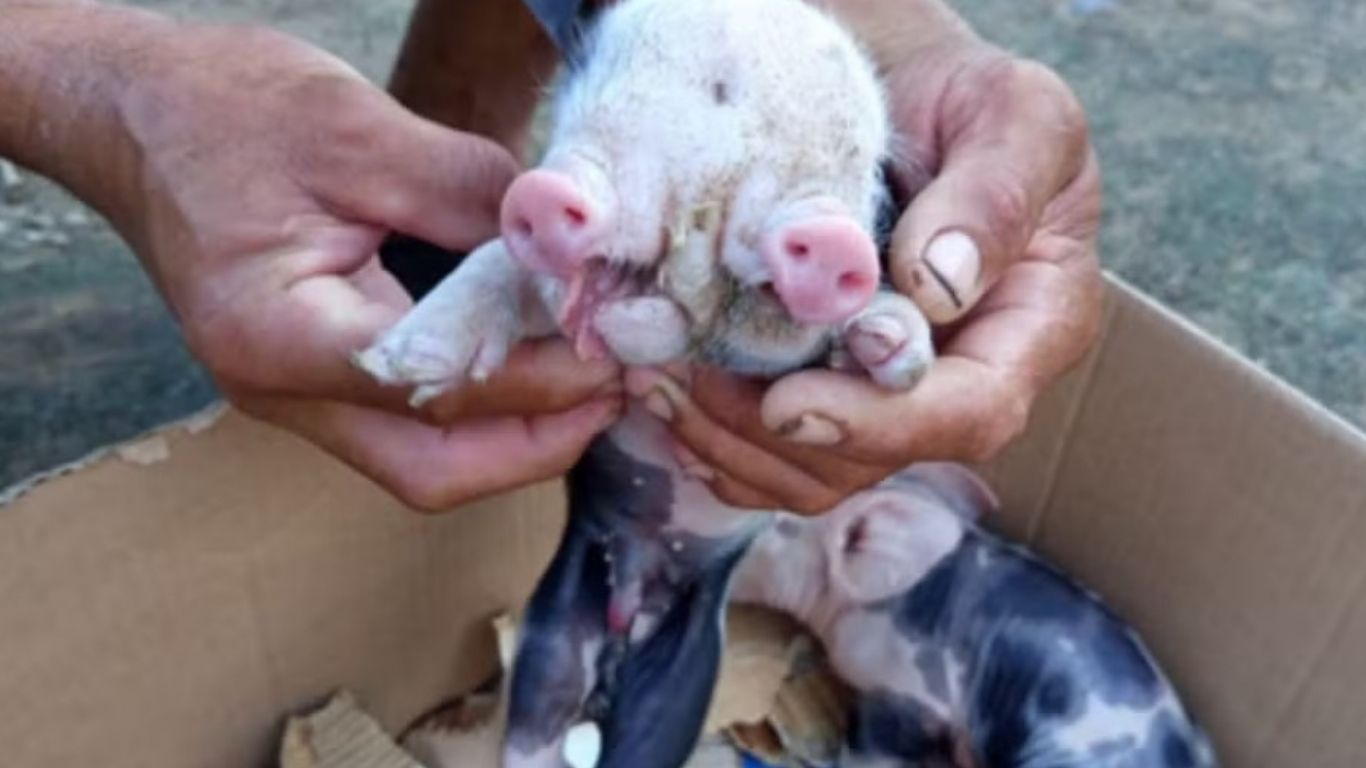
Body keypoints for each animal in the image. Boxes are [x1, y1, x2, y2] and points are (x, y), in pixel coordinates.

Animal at [354, 0, 936, 765]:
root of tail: (633, 600)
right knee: (538, 720)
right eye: (583, 76)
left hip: (686, 674)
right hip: (554, 629)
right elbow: (499, 262)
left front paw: (888, 344)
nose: (548, 191)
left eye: (870, 173)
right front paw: (400, 363)